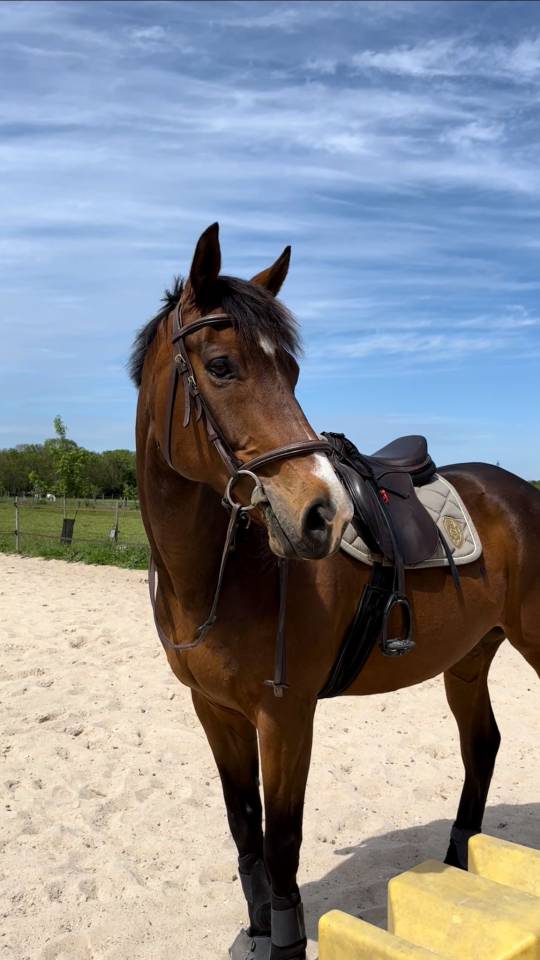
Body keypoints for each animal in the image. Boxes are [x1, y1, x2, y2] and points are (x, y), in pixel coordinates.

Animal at [131, 223, 540, 960]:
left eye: (291, 373)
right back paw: (459, 860)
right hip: (470, 658)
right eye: (222, 366)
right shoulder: (215, 712)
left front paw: (286, 942)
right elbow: (244, 830)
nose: (324, 516)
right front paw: (258, 930)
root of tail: (522, 492)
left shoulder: (286, 716)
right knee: (483, 745)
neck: (223, 576)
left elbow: (282, 842)